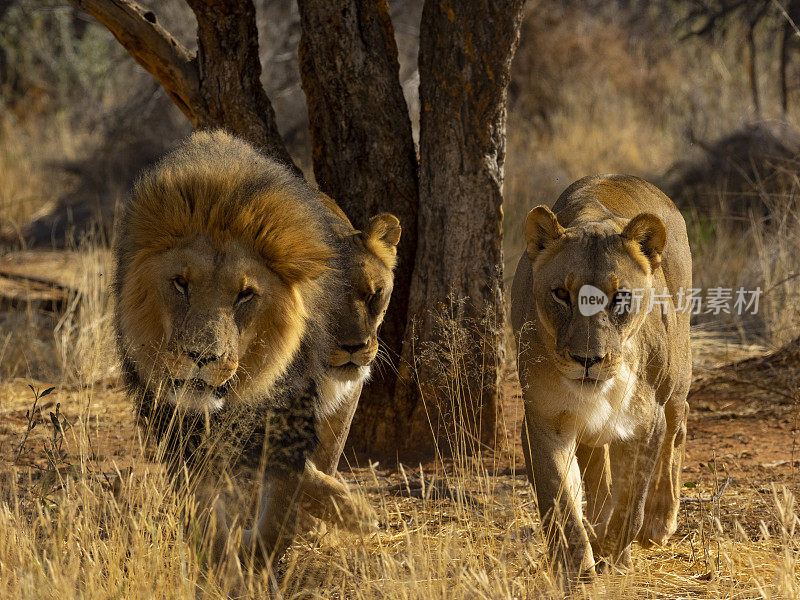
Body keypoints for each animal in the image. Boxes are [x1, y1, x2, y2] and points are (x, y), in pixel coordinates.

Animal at [111, 130, 346, 568]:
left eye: (245, 294)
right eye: (181, 283)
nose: (202, 357)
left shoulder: (288, 424)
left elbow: (279, 513)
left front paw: (258, 558)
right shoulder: (182, 437)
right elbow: (206, 517)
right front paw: (224, 566)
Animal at [512, 176, 692, 584]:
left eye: (619, 297)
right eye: (562, 294)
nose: (587, 360)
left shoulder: (645, 423)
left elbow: (631, 504)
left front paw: (614, 551)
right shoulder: (544, 420)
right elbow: (560, 503)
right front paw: (577, 568)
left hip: (676, 375)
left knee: (678, 427)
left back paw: (659, 521)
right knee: (596, 467)